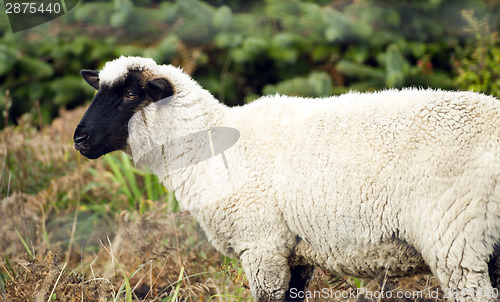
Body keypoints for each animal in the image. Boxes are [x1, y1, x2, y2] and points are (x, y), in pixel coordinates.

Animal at [73, 55, 500, 300]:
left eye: (131, 94)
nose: (80, 138)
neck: (208, 145)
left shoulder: (261, 244)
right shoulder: (295, 252)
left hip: (456, 239)